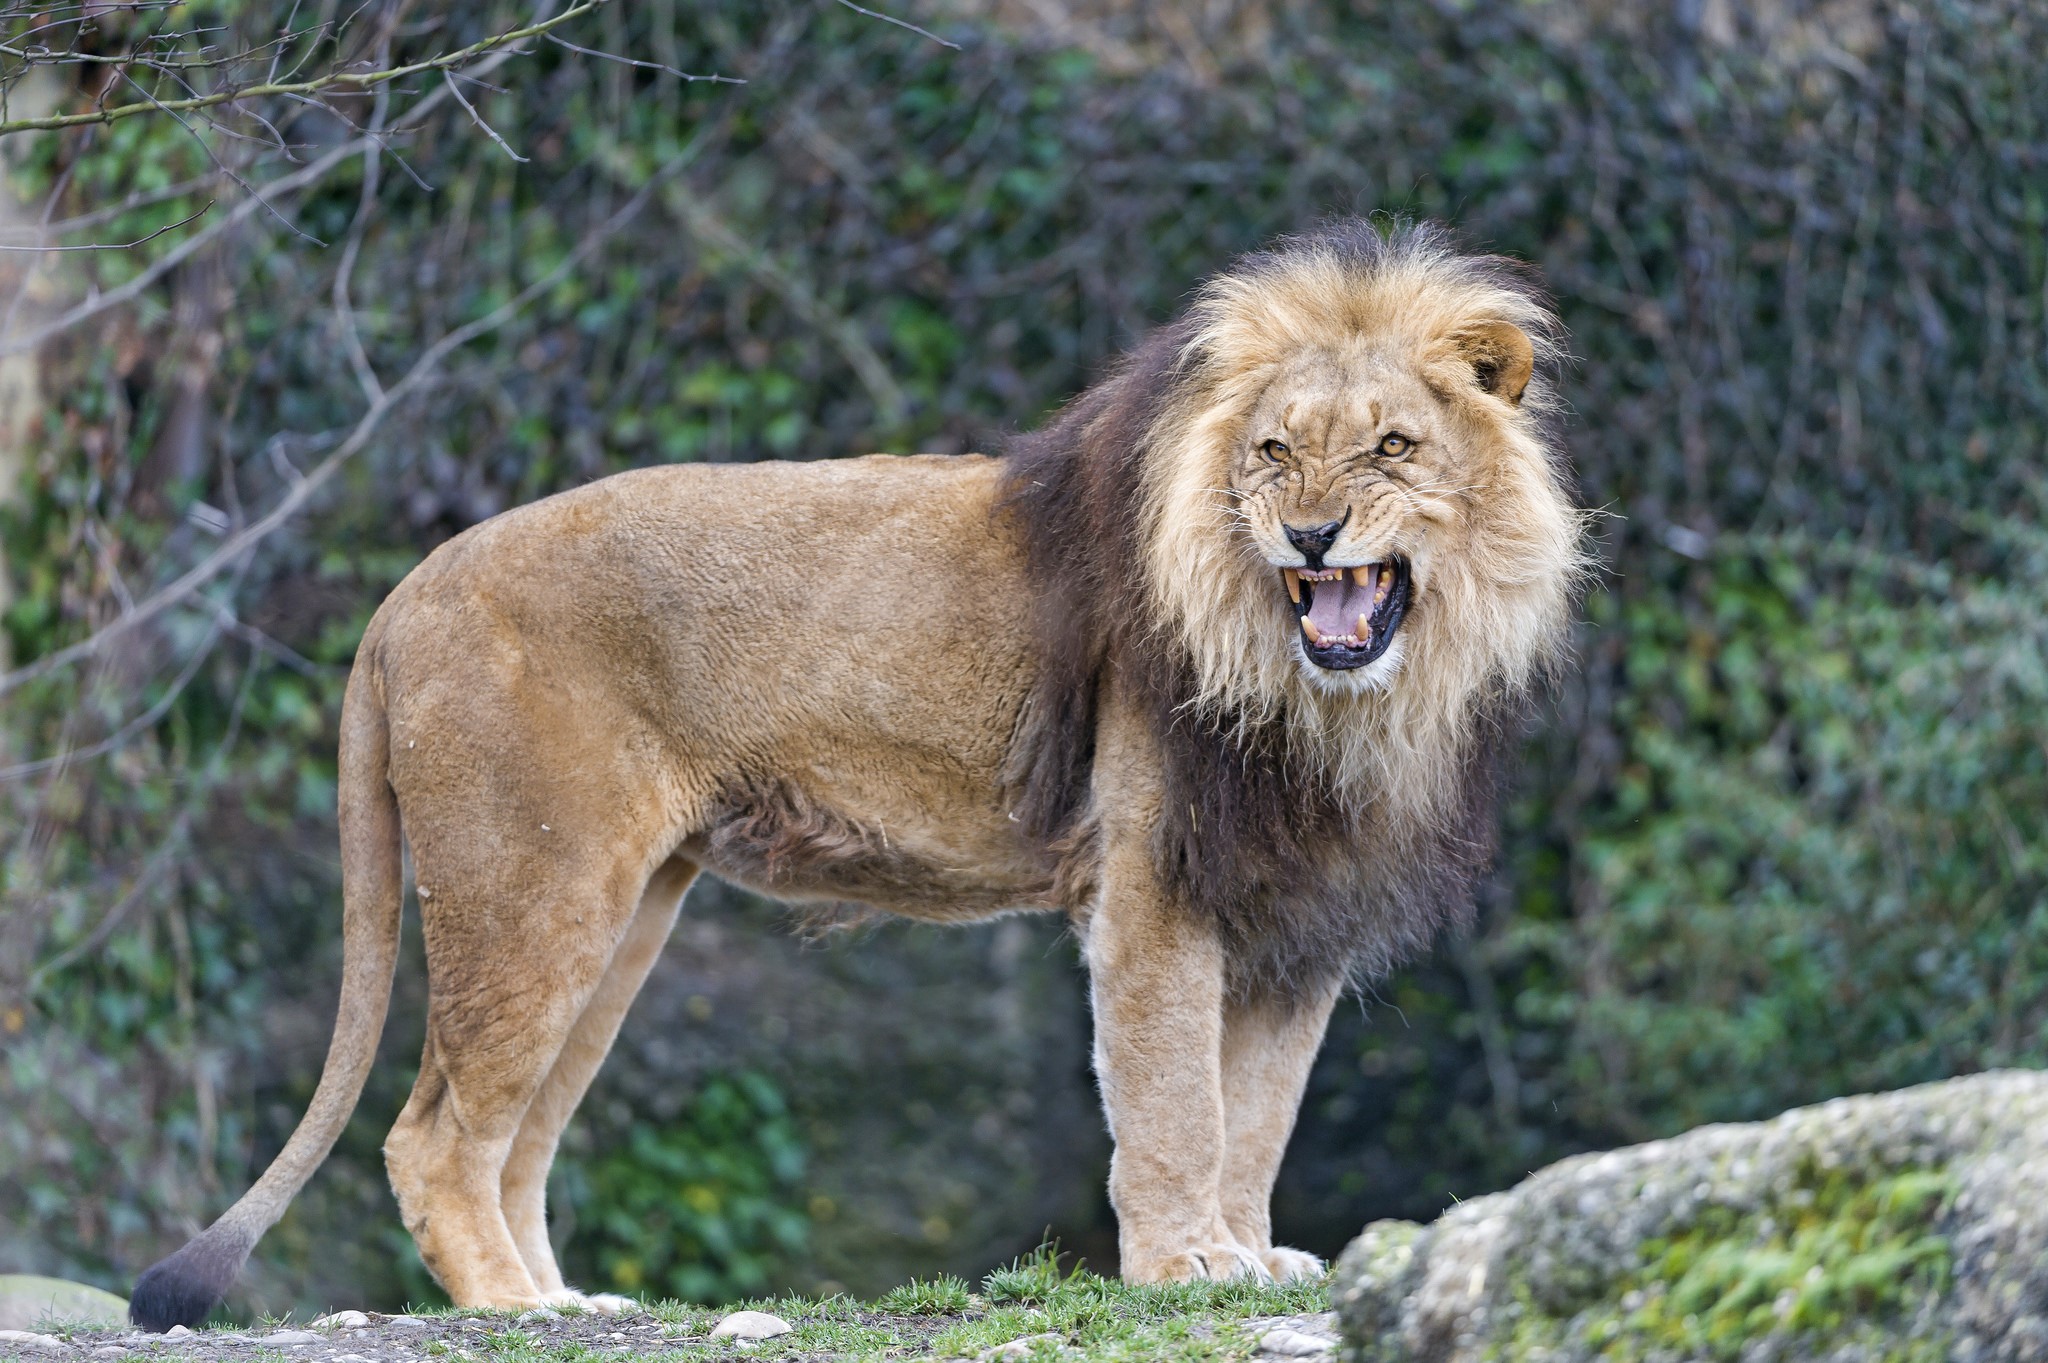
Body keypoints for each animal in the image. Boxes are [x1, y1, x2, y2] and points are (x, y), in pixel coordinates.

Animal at [130, 219, 1585, 1329]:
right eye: (1274, 450)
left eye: (1392, 447)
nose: (1311, 533)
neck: (1329, 698)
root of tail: (404, 596)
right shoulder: (1154, 885)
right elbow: (1178, 1097)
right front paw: (1183, 1267)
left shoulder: (1294, 909)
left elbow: (1261, 1107)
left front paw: (1248, 1253)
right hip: (534, 887)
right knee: (434, 1138)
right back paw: (511, 1312)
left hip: (622, 910)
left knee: (519, 1137)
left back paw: (569, 1301)